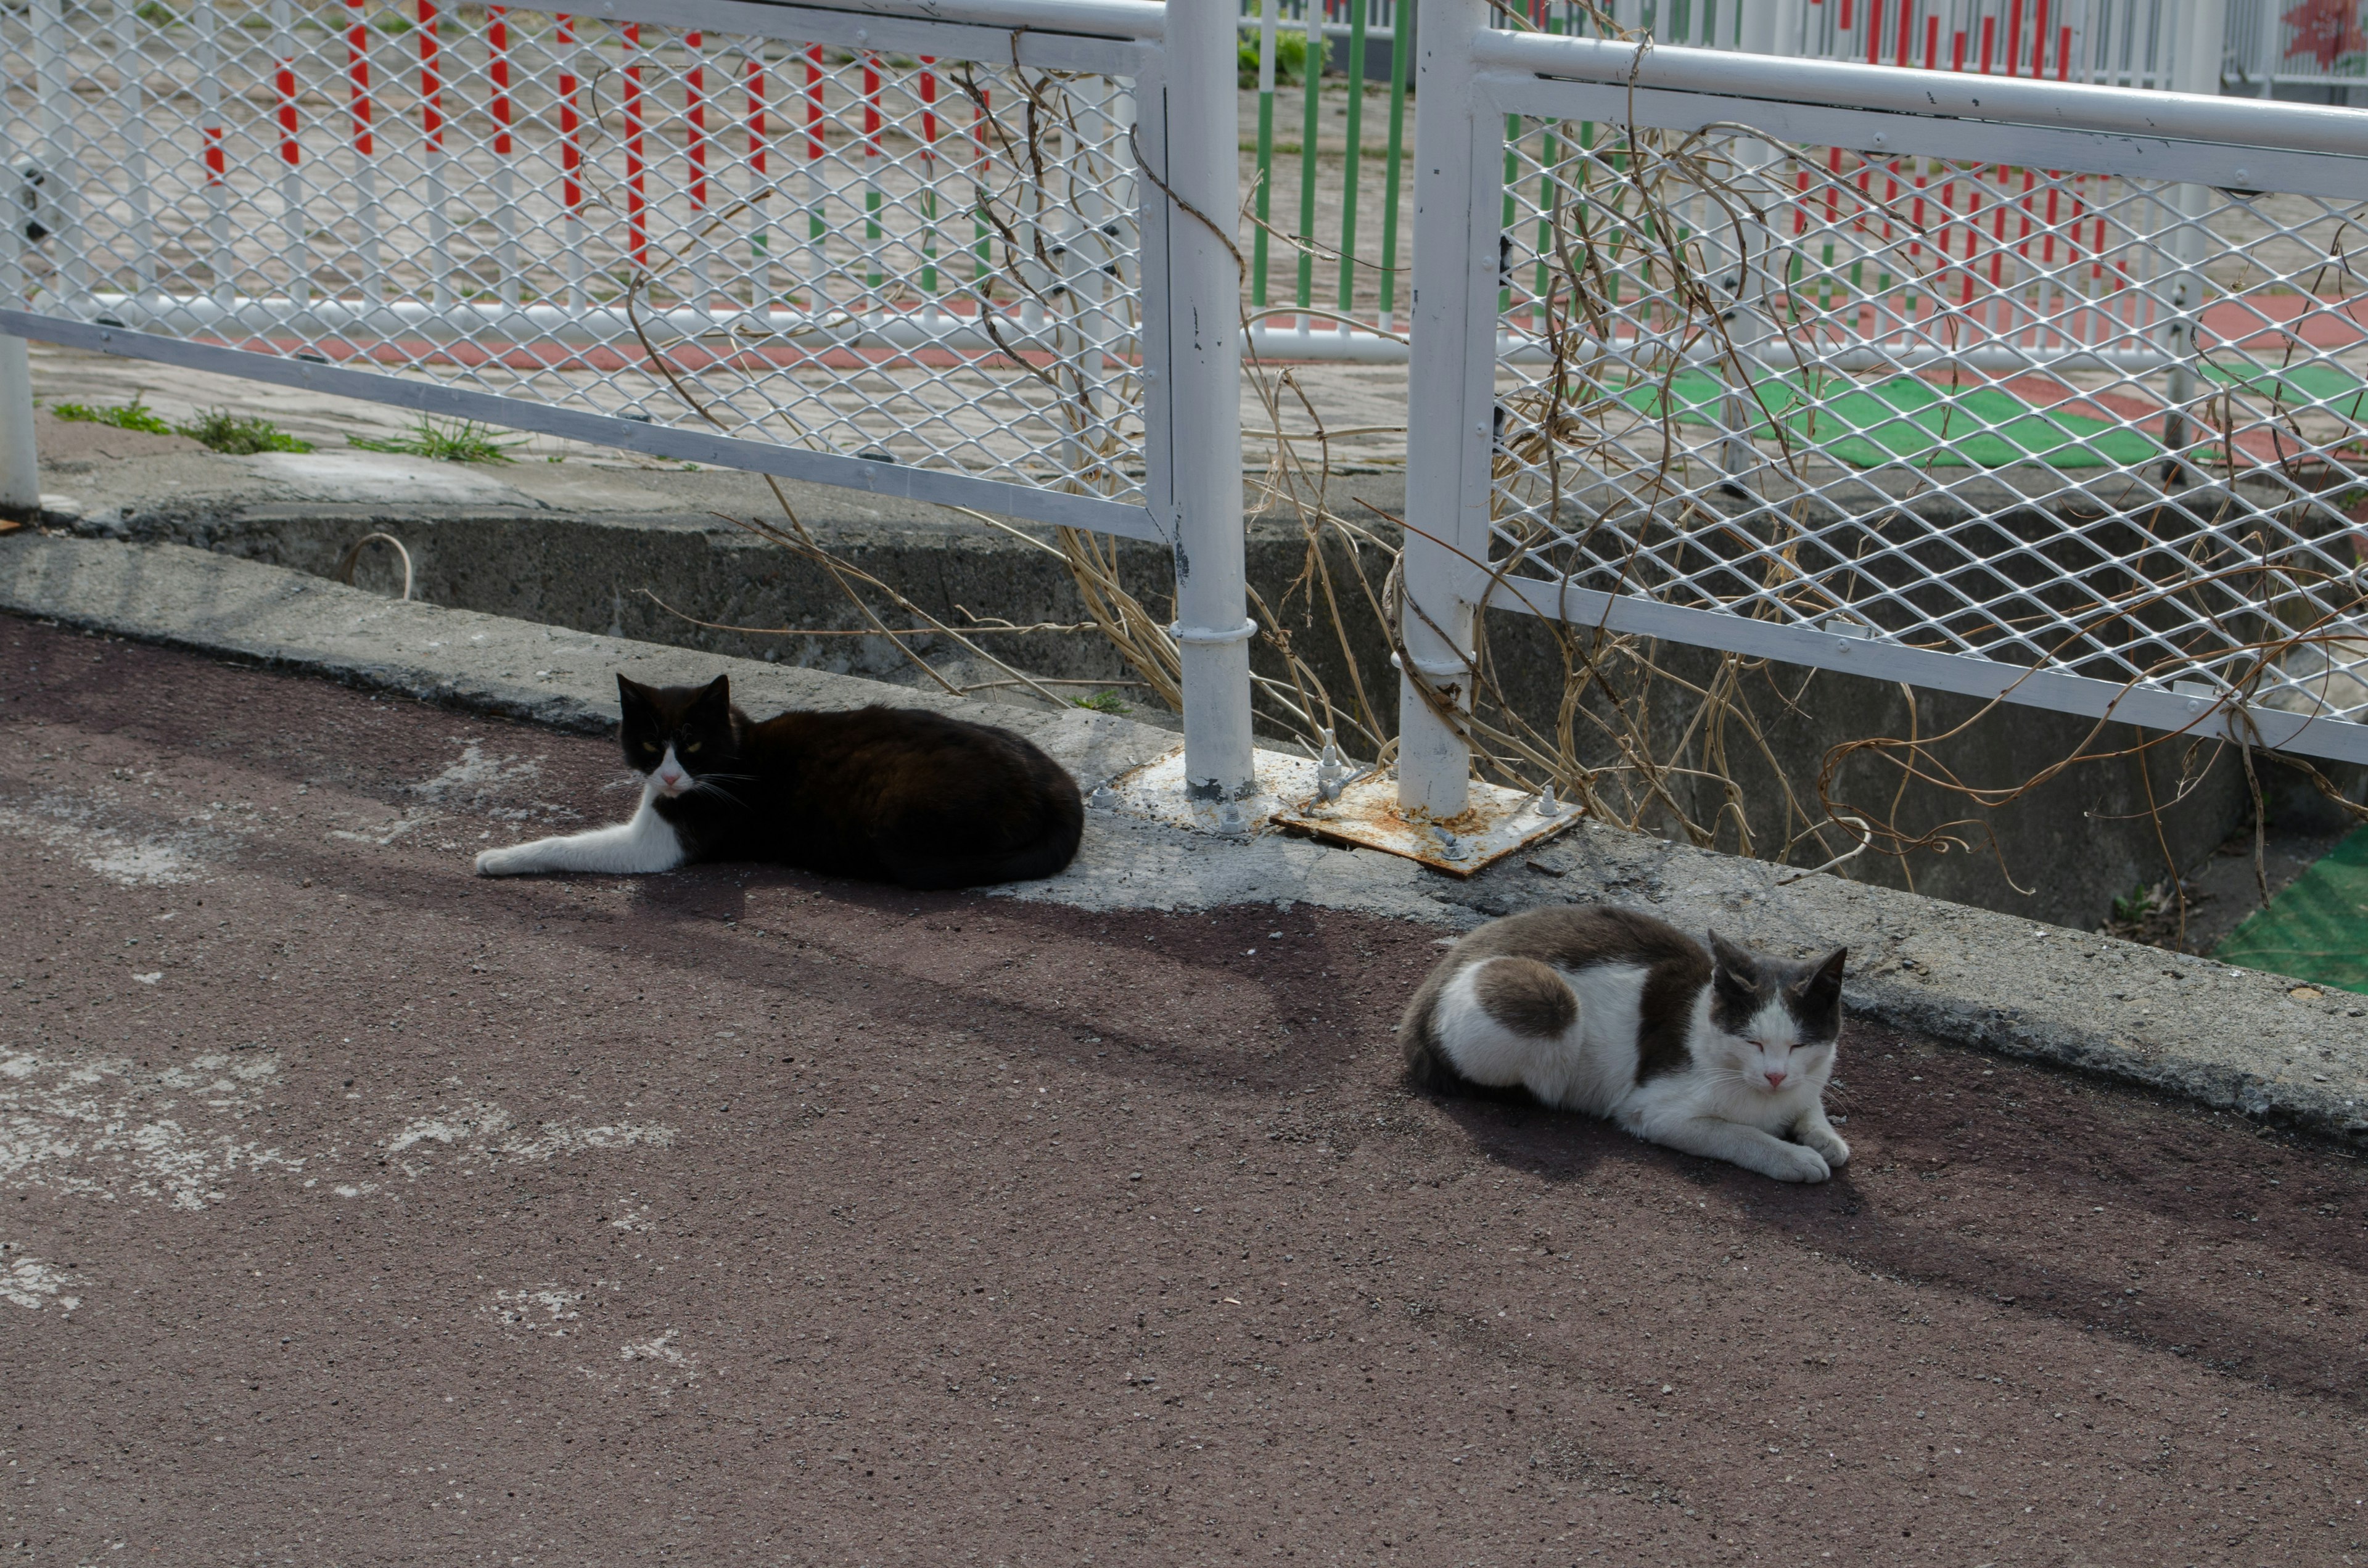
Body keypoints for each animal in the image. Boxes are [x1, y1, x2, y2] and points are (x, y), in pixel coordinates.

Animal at [475, 677, 1084, 895]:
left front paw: (498, 857)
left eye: (693, 745)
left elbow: (567, 844)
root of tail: (1057, 784)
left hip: (895, 818)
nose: (669, 775)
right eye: (651, 744)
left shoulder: (656, 846)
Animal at [1392, 905, 1856, 1184]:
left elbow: (1810, 1106)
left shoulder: (1810, 1078)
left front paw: (1824, 1138)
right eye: (1752, 1042)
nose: (1775, 1075)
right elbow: (1740, 1134)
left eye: (1799, 1045)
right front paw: (1794, 1158)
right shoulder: (1654, 1111)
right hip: (1543, 996)